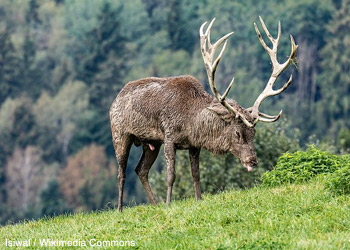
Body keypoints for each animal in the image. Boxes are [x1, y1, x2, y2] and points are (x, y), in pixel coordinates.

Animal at [110, 16, 298, 211]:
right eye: (237, 133)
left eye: (253, 132)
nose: (252, 161)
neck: (191, 122)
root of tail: (116, 98)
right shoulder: (169, 137)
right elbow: (171, 175)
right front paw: (169, 203)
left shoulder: (194, 145)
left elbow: (196, 173)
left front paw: (198, 200)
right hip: (120, 133)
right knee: (121, 172)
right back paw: (120, 208)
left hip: (151, 142)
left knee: (141, 170)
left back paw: (155, 204)